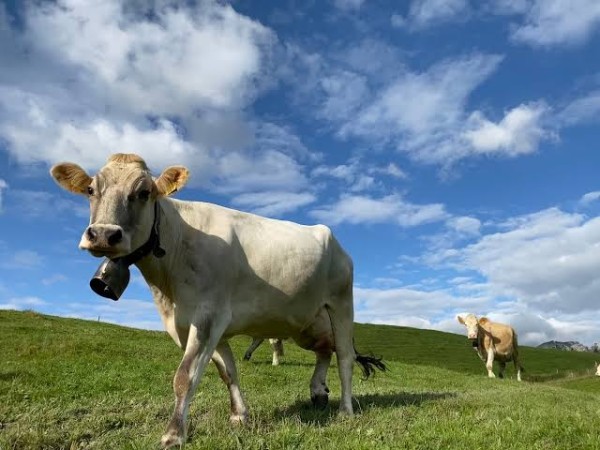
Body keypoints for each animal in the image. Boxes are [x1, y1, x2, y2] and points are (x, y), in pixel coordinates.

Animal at [50, 153, 384, 448]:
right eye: (91, 190)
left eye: (144, 192)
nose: (103, 234)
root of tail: (334, 240)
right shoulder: (202, 324)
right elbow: (228, 371)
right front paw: (240, 416)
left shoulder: (208, 316)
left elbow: (185, 376)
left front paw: (174, 434)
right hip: (306, 319)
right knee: (324, 350)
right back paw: (317, 391)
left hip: (341, 302)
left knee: (344, 356)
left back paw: (345, 410)